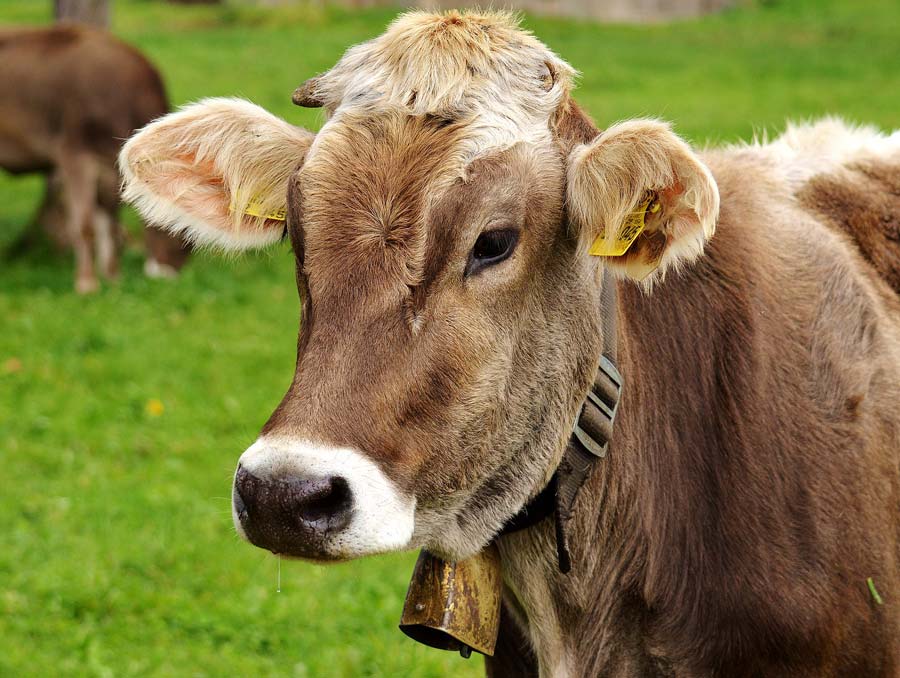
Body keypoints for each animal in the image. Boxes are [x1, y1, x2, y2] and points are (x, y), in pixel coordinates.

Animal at [0, 24, 190, 292]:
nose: (168, 275)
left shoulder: (110, 169)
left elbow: (109, 226)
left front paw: (112, 278)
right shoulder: (74, 155)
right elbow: (85, 225)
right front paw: (87, 283)